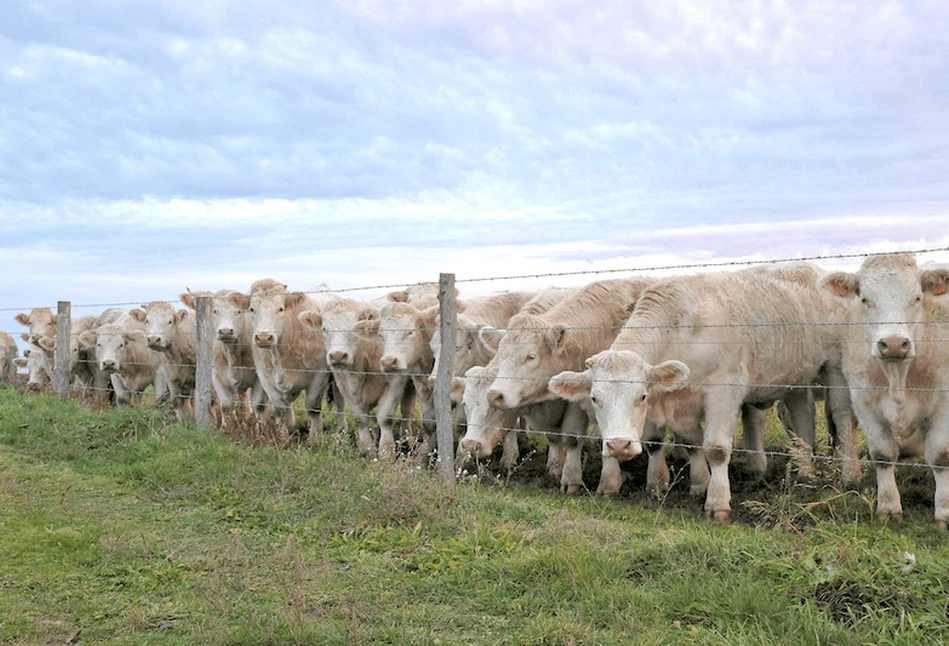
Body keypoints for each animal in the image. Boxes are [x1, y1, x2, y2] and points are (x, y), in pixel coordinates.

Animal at [246, 280, 332, 438]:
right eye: (252, 309)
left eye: (280, 309)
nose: (263, 338)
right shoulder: (265, 376)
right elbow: (280, 409)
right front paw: (282, 436)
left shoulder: (320, 374)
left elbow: (313, 408)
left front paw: (315, 438)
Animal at [300, 298, 408, 460]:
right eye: (324, 328)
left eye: (353, 329)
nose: (338, 355)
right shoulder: (344, 386)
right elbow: (360, 419)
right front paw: (366, 450)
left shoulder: (396, 382)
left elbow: (385, 419)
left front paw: (386, 453)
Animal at [482, 278, 660, 496]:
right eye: (501, 352)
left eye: (531, 356)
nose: (494, 395)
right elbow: (563, 438)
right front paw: (561, 472)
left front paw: (601, 483)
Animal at [548, 264, 868, 520]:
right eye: (594, 398)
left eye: (641, 396)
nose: (618, 446)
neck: (682, 329)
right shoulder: (683, 399)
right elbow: (691, 443)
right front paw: (697, 484)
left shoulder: (722, 391)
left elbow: (715, 448)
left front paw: (717, 502)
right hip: (797, 377)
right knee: (802, 417)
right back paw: (804, 471)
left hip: (835, 365)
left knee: (842, 416)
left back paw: (849, 474)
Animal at [816, 253, 948, 528]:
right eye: (865, 299)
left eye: (917, 298)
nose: (895, 344)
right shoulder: (863, 401)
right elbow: (883, 453)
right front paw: (888, 507)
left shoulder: (944, 402)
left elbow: (940, 455)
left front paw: (944, 512)